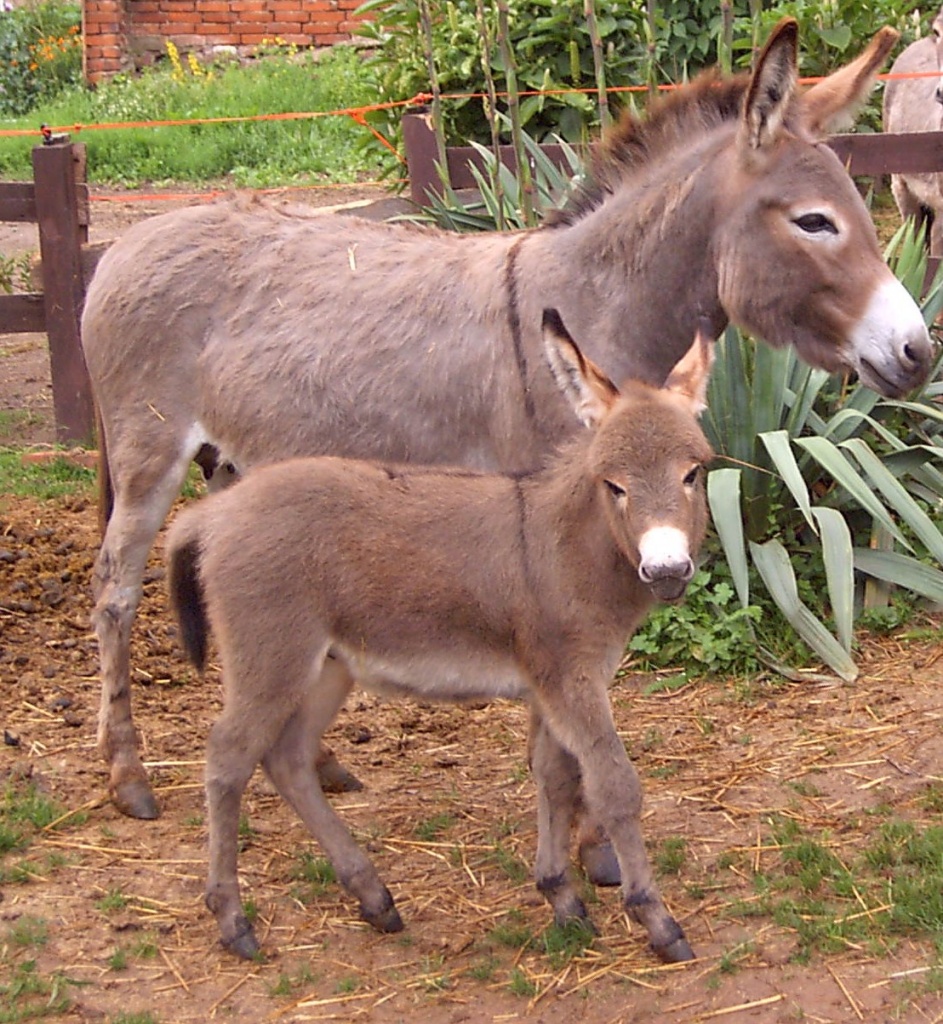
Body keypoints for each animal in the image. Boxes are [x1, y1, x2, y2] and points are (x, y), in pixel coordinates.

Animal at [168, 307, 712, 962]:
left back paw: (373, 897)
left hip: (327, 665)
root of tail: (215, 514)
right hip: (269, 655)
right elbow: (613, 787)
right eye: (613, 484)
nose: (667, 570)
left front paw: (561, 896)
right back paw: (233, 920)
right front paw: (656, 920)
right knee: (228, 758)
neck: (566, 548)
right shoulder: (571, 678)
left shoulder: (552, 682)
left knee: (287, 757)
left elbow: (554, 777)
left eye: (694, 473)